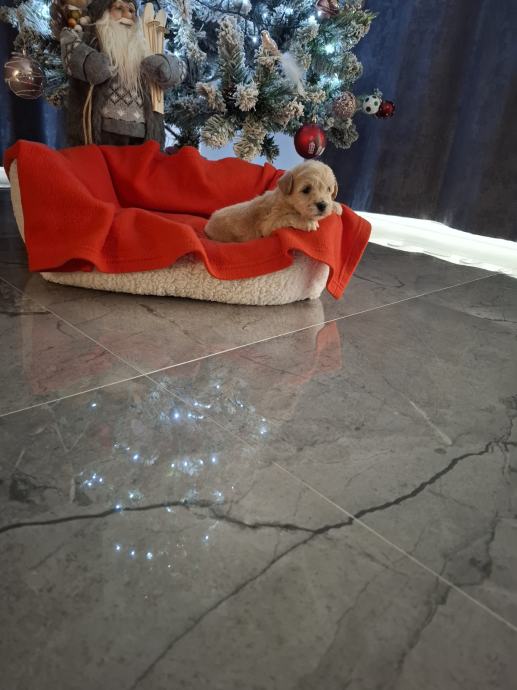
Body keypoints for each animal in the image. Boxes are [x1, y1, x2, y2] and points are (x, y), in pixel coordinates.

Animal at [204, 160, 343, 243]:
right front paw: (307, 222)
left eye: (329, 189)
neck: (287, 201)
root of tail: (208, 224)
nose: (322, 205)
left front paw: (336, 206)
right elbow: (288, 216)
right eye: (306, 189)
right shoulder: (269, 224)